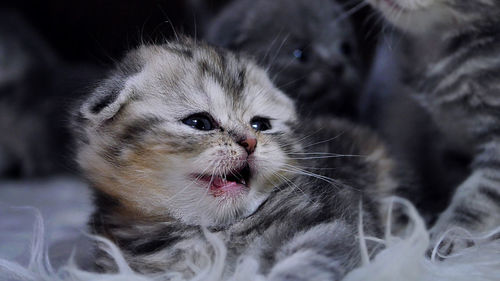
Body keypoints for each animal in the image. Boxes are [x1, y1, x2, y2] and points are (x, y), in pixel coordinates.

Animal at [75, 38, 402, 278]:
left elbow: (310, 262)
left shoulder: (337, 223)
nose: (250, 142)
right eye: (199, 123)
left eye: (260, 125)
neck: (214, 231)